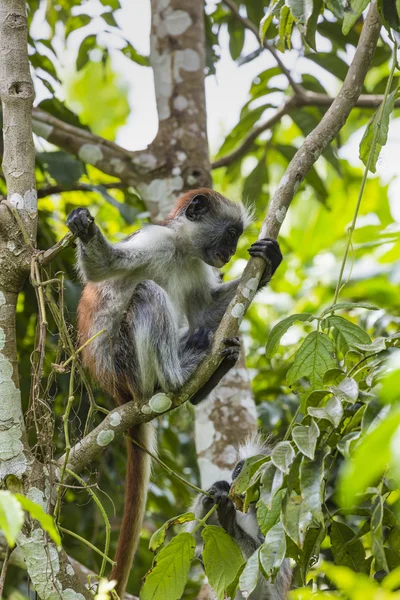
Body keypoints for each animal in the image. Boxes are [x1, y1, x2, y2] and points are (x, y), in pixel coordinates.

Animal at [66, 189, 282, 596]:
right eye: (230, 233)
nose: (232, 251)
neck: (181, 250)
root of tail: (119, 393)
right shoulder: (156, 240)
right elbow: (104, 268)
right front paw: (83, 227)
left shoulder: (198, 265)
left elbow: (207, 311)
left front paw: (270, 261)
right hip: (127, 364)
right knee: (148, 293)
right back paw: (179, 376)